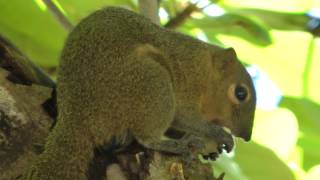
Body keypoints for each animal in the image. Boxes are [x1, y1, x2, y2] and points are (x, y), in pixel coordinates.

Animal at [23, 6, 255, 179]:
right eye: (240, 93)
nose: (246, 135)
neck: (206, 70)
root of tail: (76, 117)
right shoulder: (189, 78)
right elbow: (184, 116)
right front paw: (219, 134)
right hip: (151, 82)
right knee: (146, 138)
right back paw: (176, 145)